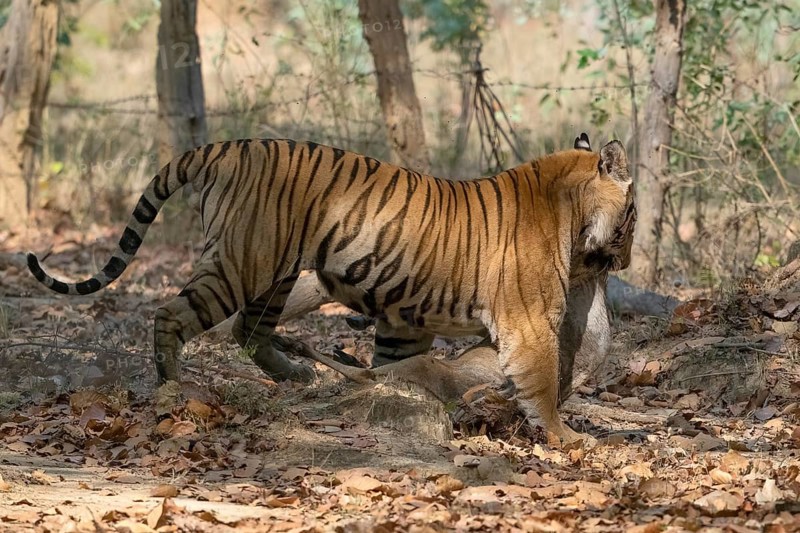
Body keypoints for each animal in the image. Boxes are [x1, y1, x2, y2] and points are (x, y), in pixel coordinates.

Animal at [27, 133, 633, 444]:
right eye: (632, 216)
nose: (625, 259)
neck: (570, 210)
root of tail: (227, 146)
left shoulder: (405, 320)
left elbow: (394, 367)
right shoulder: (528, 322)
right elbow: (541, 383)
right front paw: (566, 439)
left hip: (270, 272)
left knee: (249, 329)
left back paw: (296, 374)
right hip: (240, 265)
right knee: (171, 316)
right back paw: (174, 390)